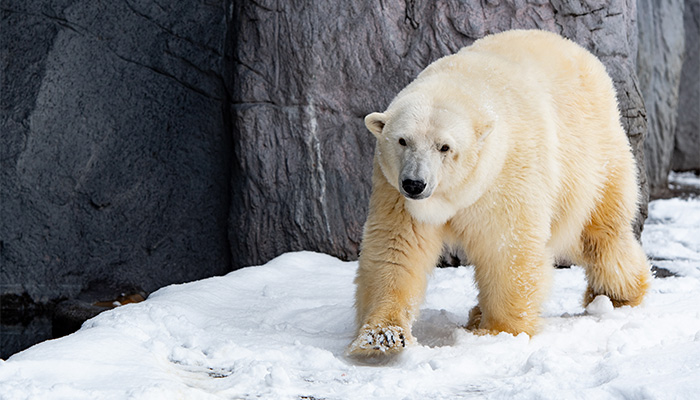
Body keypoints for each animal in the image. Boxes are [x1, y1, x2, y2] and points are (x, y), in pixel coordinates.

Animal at [350, 30, 652, 356]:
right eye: (403, 140)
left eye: (445, 147)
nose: (415, 183)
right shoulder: (393, 190)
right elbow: (396, 248)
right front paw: (381, 337)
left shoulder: (507, 173)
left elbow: (507, 249)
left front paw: (499, 332)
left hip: (592, 158)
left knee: (600, 234)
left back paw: (617, 294)